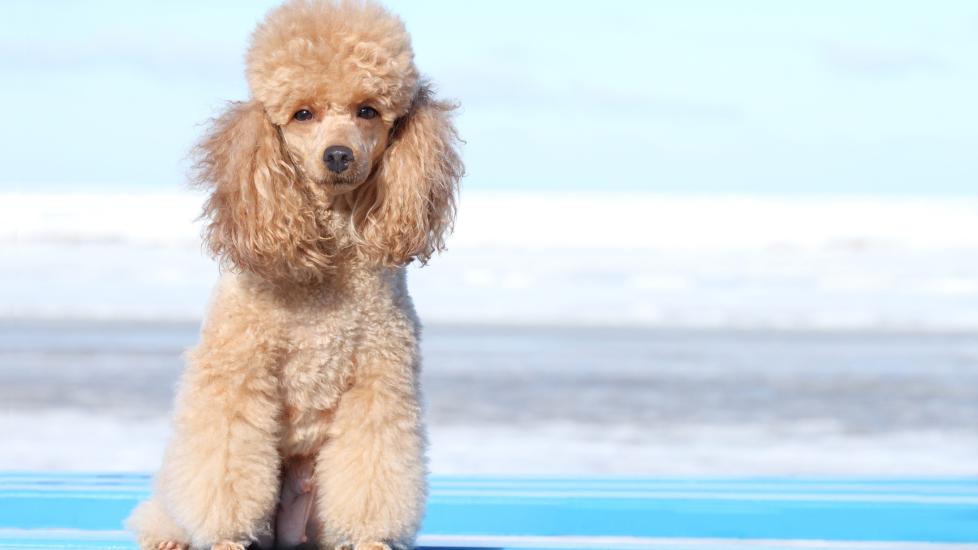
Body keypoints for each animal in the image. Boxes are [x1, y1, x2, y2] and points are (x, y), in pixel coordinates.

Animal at [126, 2, 462, 548]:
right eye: (302, 114)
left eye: (368, 110)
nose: (339, 155)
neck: (327, 258)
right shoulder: (237, 374)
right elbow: (224, 465)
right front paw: (225, 536)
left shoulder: (379, 382)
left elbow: (373, 469)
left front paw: (371, 537)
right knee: (167, 507)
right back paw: (169, 534)